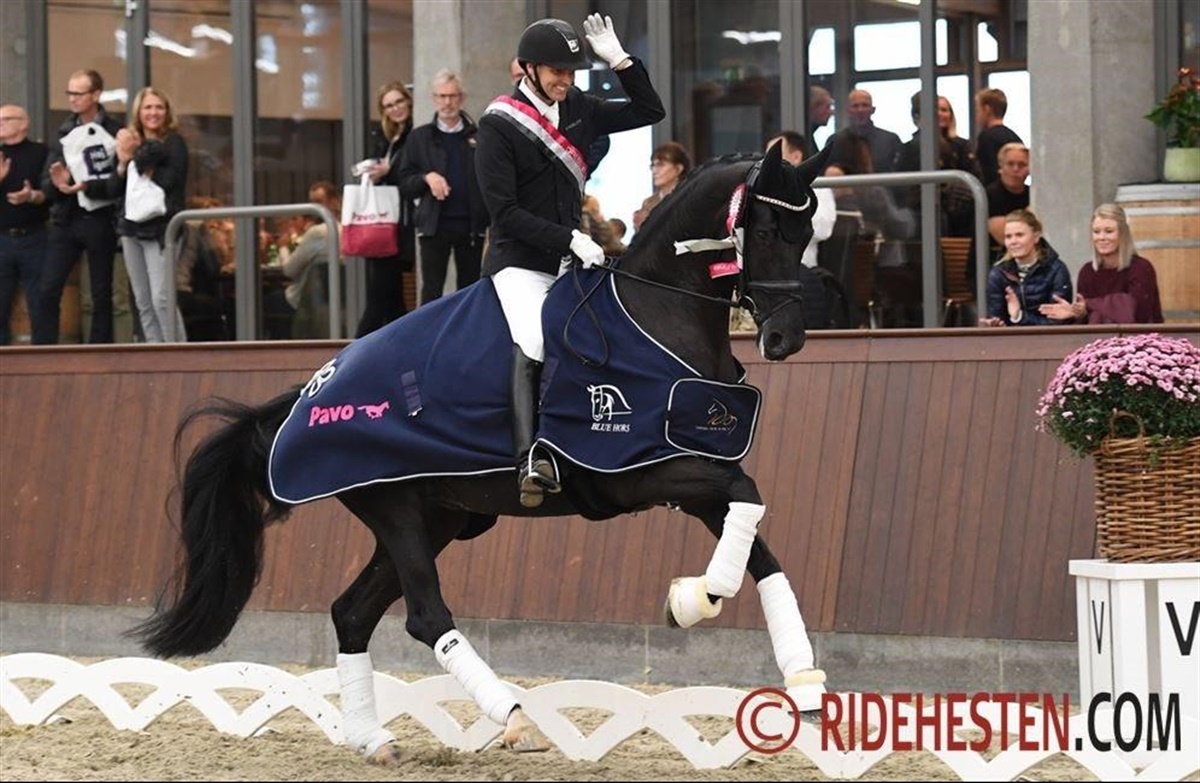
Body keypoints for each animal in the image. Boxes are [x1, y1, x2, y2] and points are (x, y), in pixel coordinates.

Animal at [132, 142, 832, 765]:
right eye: (766, 227)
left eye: (808, 230)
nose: (786, 338)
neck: (655, 313)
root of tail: (311, 392)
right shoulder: (642, 471)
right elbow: (748, 506)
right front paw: (697, 598)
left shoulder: (697, 472)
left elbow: (757, 540)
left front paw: (796, 676)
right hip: (394, 509)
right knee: (423, 614)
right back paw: (513, 717)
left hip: (436, 515)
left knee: (353, 613)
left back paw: (374, 740)